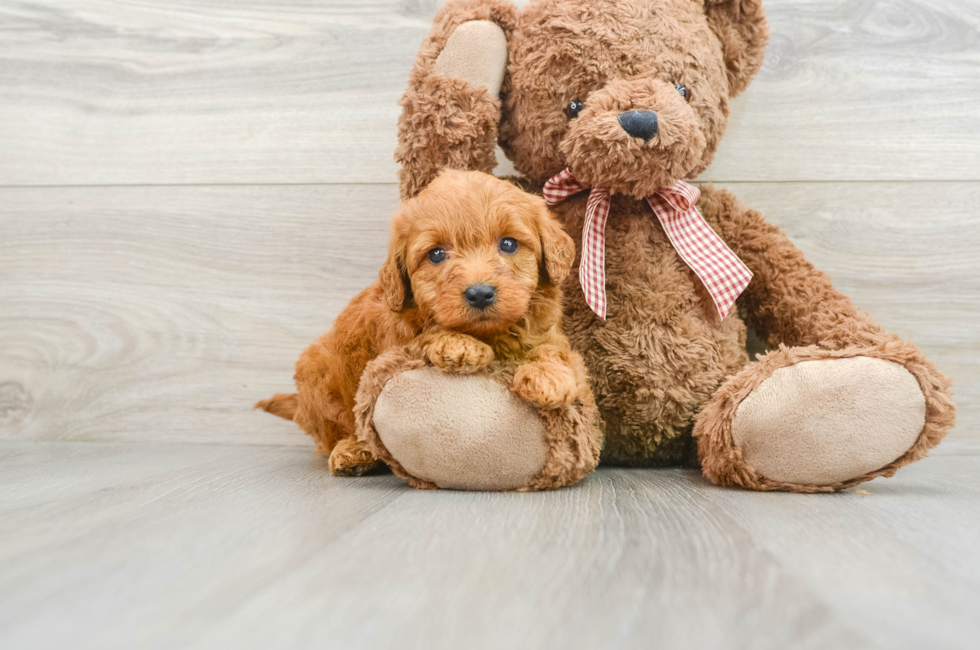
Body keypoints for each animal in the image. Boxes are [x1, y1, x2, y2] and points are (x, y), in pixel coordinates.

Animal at [256, 170, 584, 474]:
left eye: (508, 244)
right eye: (436, 254)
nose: (479, 293)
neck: (491, 333)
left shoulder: (545, 329)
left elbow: (552, 349)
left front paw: (549, 377)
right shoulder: (395, 335)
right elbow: (425, 334)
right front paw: (458, 344)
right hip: (317, 372)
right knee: (338, 431)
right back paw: (353, 450)